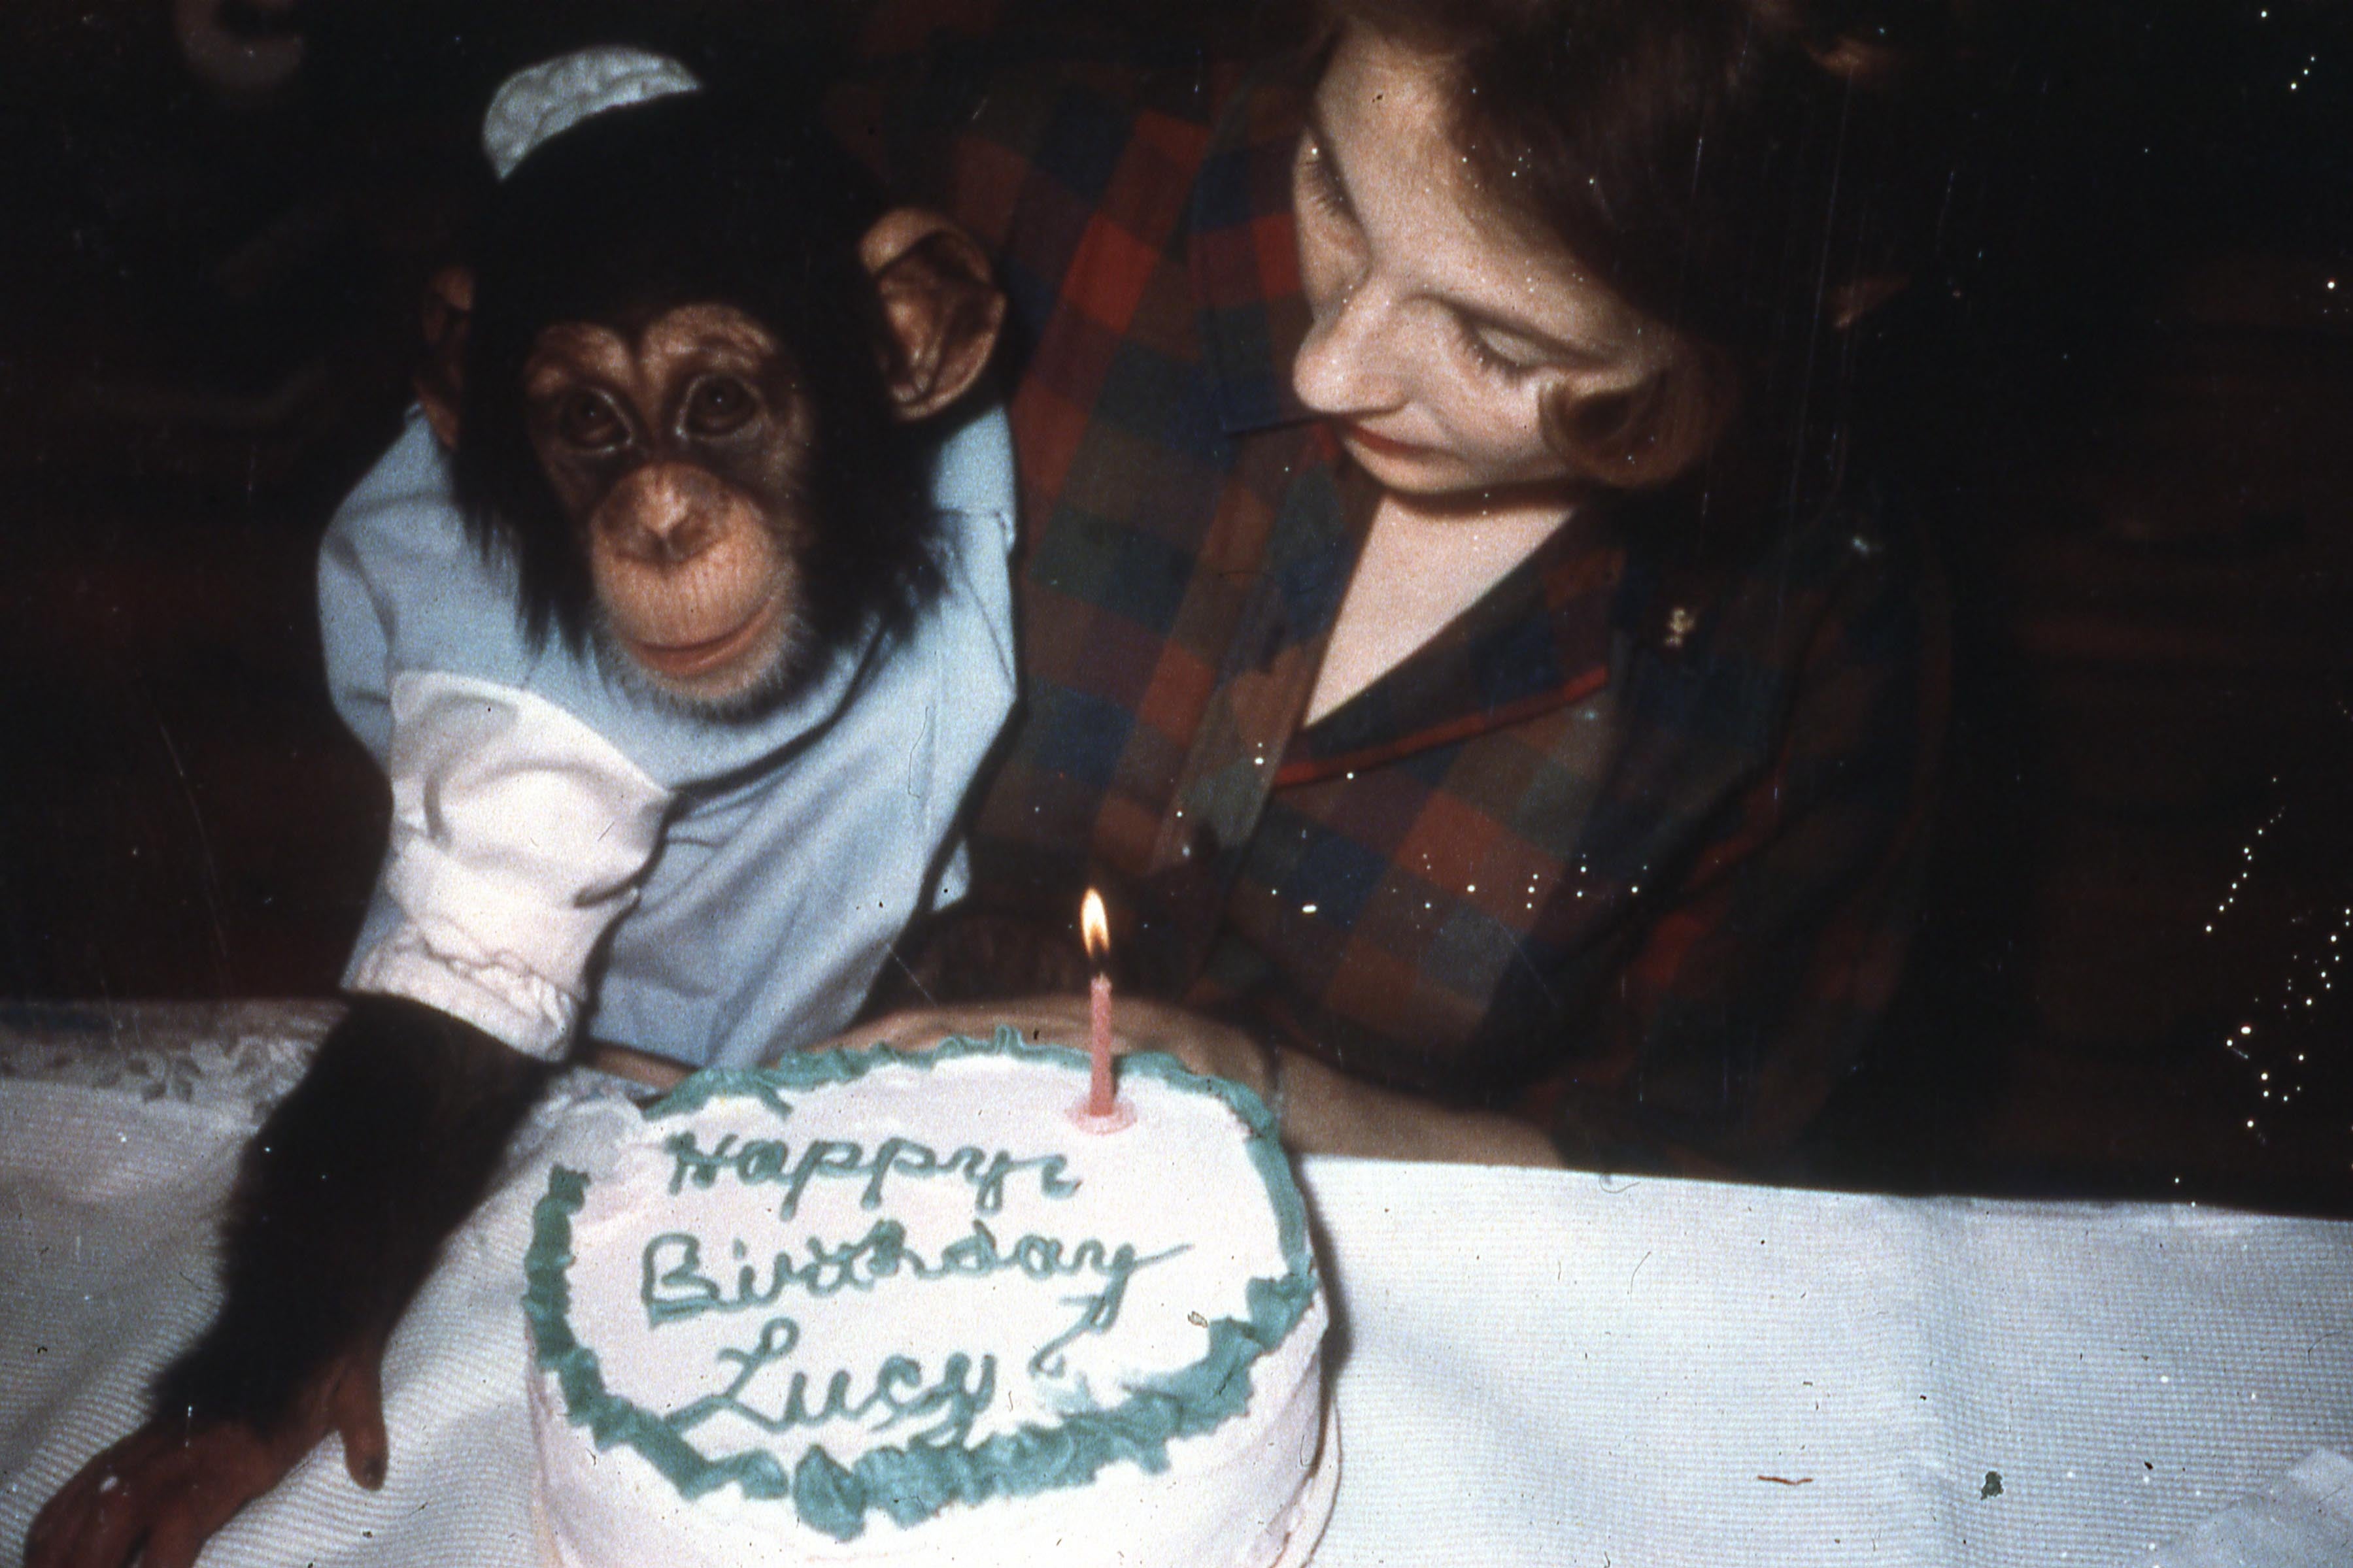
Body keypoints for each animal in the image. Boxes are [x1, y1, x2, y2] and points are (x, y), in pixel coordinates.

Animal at [27, 49, 1016, 1568]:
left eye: (718, 406)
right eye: (590, 426)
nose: (661, 517)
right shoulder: (513, 689)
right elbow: (452, 1016)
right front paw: (232, 1419)